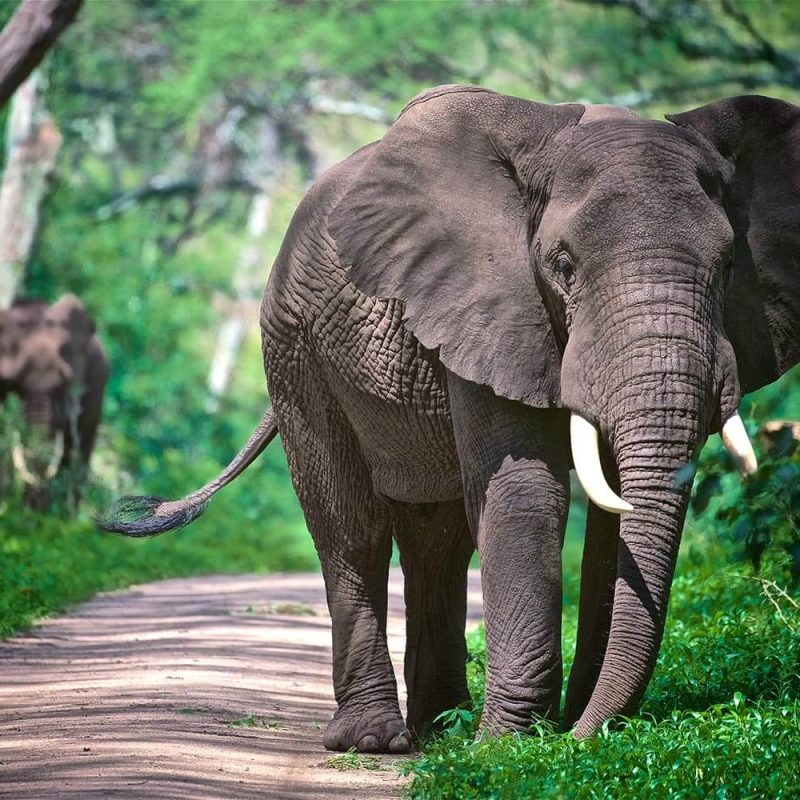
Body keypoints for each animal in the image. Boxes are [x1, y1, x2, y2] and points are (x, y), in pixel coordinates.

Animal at [97, 85, 800, 752]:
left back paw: (440, 730)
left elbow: (607, 515)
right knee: (351, 527)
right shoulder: (487, 306)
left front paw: (541, 734)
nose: (579, 734)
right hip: (293, 344)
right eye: (562, 266)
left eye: (727, 268)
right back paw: (378, 740)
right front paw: (507, 751)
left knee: (437, 538)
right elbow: (526, 491)